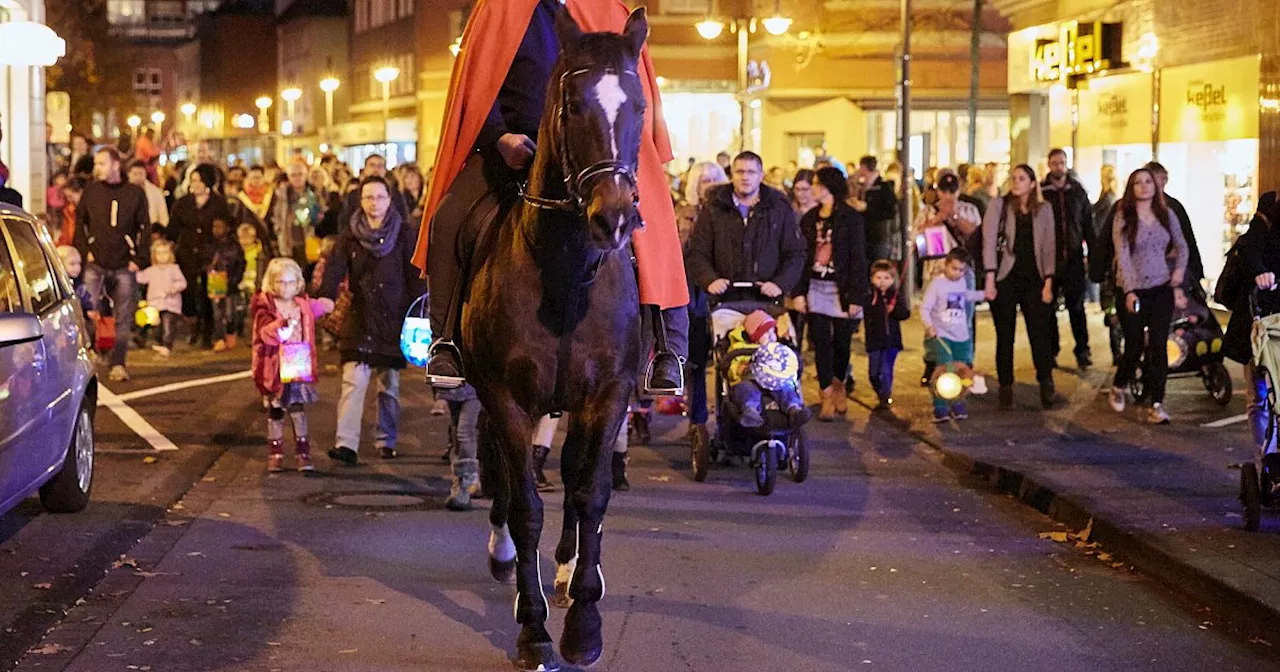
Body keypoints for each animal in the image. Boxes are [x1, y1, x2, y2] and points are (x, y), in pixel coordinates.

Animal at [463, 6, 650, 670]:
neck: (566, 272)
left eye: (639, 105)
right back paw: (508, 563)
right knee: (502, 468)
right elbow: (524, 504)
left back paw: (567, 570)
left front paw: (584, 627)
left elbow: (590, 492)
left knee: (570, 476)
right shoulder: (506, 395)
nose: (613, 217)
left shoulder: (608, 393)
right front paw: (534, 632)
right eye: (570, 106)